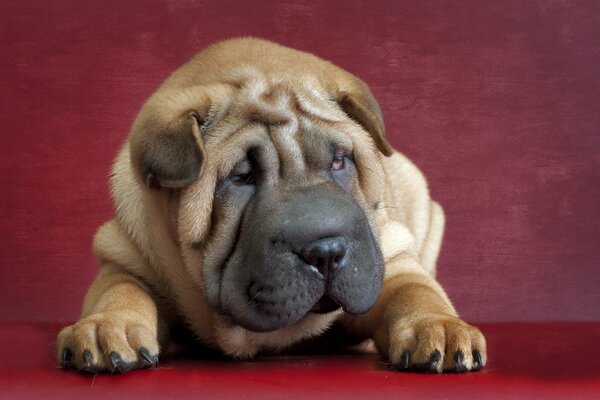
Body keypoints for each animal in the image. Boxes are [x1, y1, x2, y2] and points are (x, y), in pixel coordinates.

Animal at [56, 37, 488, 376]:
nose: (326, 252)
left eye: (339, 161)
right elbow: (120, 290)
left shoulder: (390, 256)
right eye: (242, 177)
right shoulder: (127, 258)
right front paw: (104, 327)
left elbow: (415, 290)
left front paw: (441, 327)